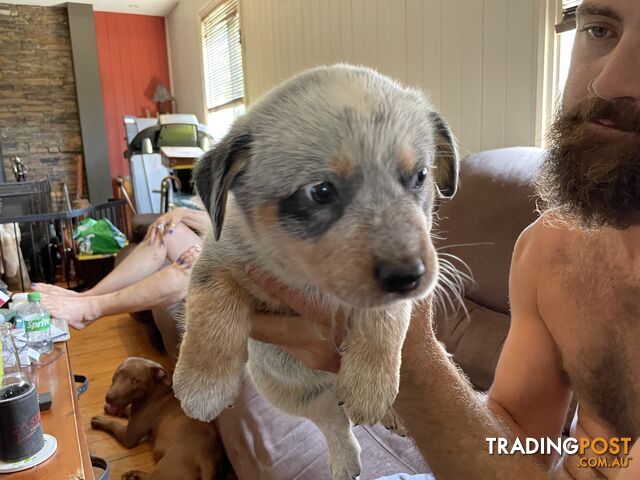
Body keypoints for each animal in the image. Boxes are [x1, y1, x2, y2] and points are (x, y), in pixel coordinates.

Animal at [91, 356, 222, 480]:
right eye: (118, 373)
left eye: (135, 381)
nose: (109, 398)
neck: (155, 390)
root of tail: (205, 459)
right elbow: (126, 409)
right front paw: (112, 409)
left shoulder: (129, 436)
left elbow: (114, 424)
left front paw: (100, 420)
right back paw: (134, 474)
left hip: (164, 468)